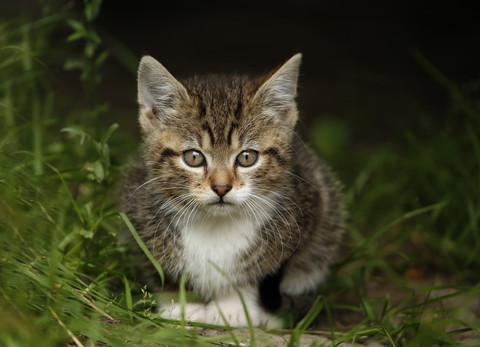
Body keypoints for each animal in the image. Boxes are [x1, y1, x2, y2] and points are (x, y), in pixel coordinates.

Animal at [122, 53, 344, 328]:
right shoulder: (137, 212)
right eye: (193, 157)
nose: (221, 187)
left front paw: (234, 307)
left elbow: (258, 274)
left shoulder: (308, 211)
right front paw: (181, 305)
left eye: (247, 157)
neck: (215, 227)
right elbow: (159, 267)